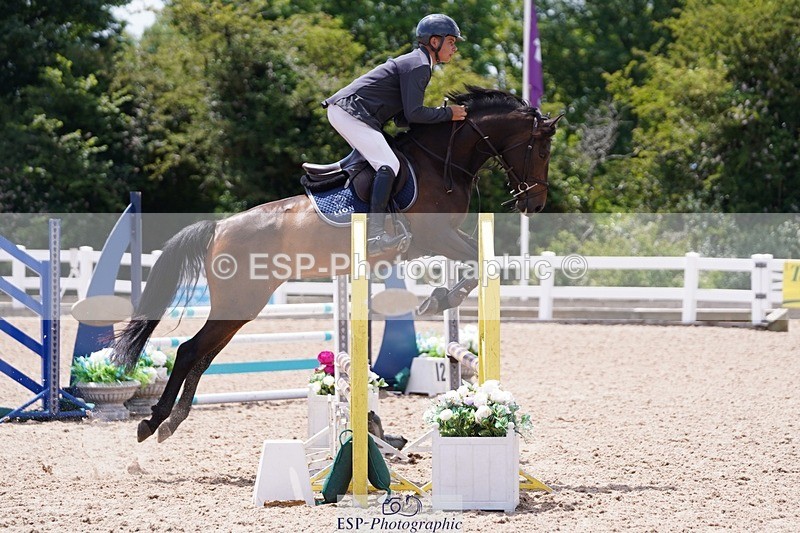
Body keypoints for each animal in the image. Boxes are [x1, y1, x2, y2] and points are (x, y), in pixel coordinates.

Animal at [112, 86, 562, 443]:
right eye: (541, 149)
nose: (535, 203)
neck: (441, 160)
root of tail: (219, 227)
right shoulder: (437, 237)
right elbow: (482, 262)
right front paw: (437, 299)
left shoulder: (443, 239)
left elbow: (484, 260)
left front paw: (439, 296)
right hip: (239, 300)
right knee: (190, 350)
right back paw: (153, 422)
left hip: (242, 306)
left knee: (202, 355)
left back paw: (172, 420)